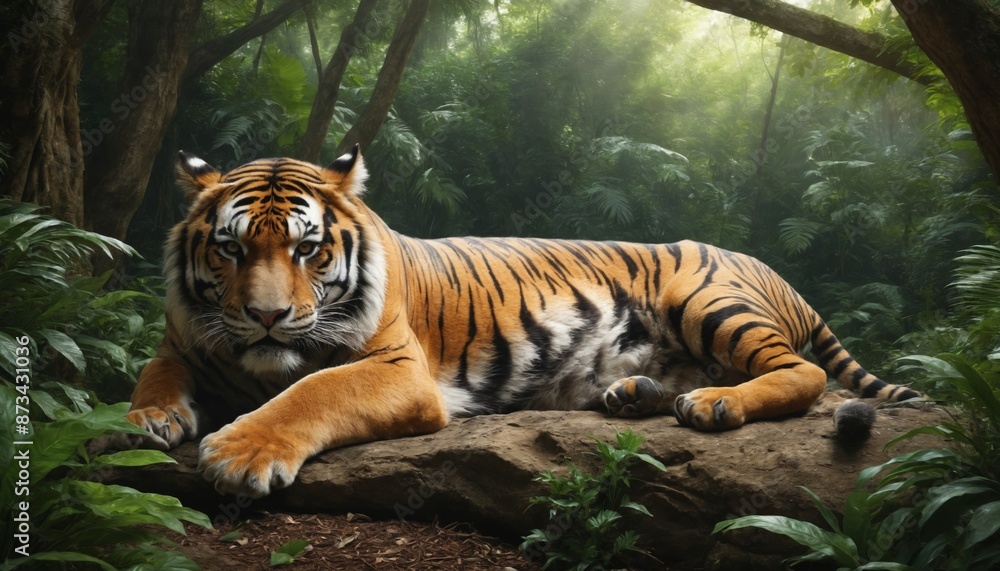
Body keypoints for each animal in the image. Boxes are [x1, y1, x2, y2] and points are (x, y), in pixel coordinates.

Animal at [119, 146, 921, 498]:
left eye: (307, 249)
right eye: (229, 248)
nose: (265, 316)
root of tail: (781, 274)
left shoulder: (397, 370)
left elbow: (310, 391)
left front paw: (240, 452)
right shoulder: (186, 338)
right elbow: (154, 369)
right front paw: (146, 420)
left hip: (706, 298)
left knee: (803, 372)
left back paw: (714, 405)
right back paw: (634, 394)